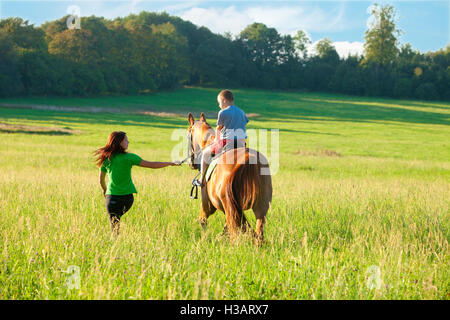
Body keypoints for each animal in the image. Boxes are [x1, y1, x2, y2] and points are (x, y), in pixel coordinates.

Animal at [185, 112, 270, 242]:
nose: (191, 163)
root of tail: (248, 158)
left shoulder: (207, 205)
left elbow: (203, 221)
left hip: (231, 208)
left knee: (234, 232)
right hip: (261, 207)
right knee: (258, 232)